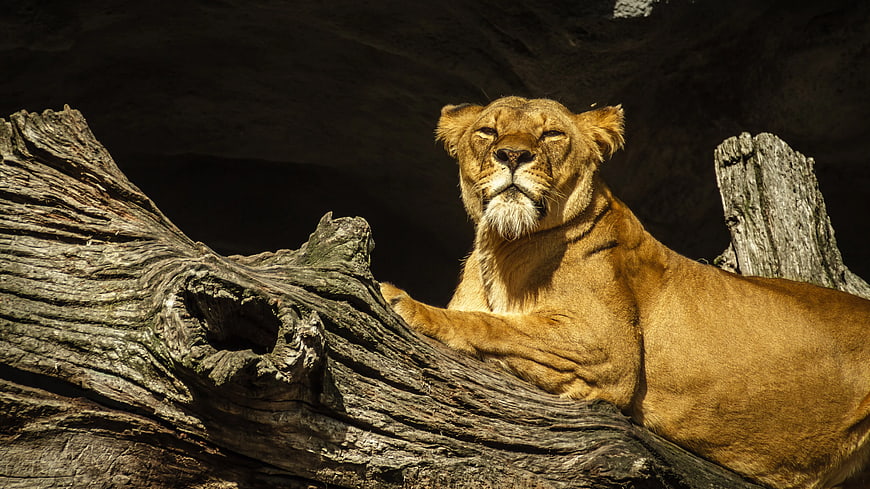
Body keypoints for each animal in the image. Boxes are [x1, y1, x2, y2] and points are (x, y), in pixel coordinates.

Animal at [379, 96, 870, 489]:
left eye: (552, 133)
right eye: (488, 131)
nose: (512, 155)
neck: (502, 246)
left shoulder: (607, 350)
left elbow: (494, 325)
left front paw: (406, 302)